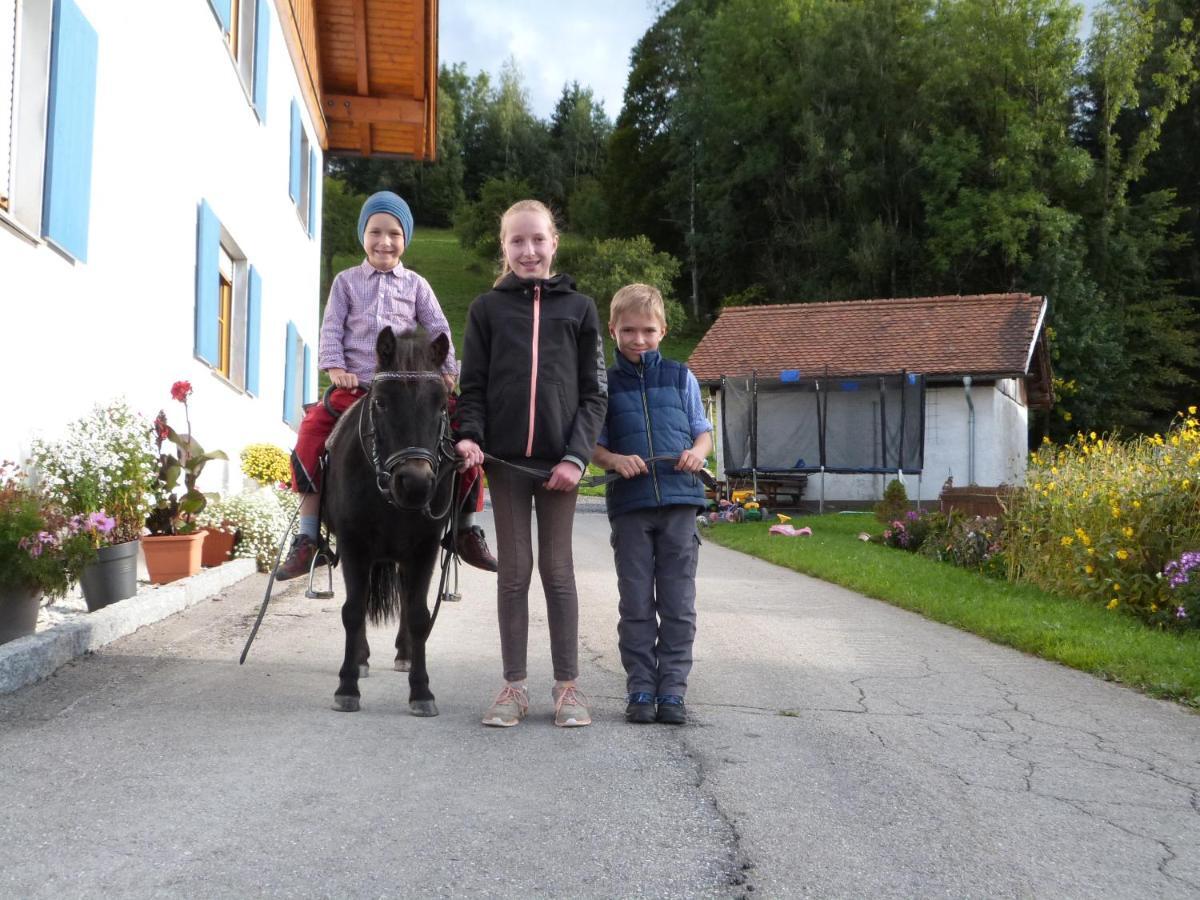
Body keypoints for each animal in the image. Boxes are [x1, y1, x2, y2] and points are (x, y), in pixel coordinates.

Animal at [321, 328, 456, 715]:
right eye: (381, 402)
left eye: (441, 405)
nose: (415, 483)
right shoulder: (354, 547)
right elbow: (353, 611)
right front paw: (347, 686)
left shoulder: (424, 550)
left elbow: (419, 615)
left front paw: (422, 691)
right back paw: (362, 659)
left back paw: (405, 655)